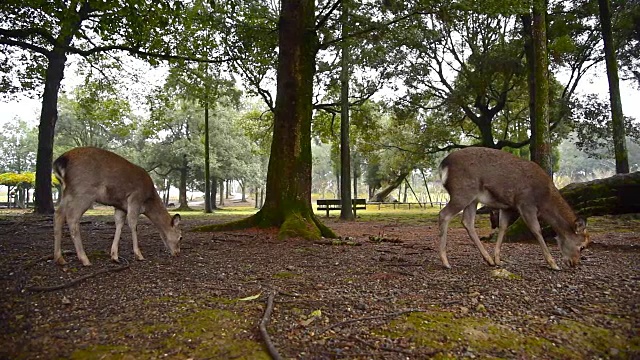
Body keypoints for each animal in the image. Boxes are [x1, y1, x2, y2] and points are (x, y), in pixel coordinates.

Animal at [51, 145, 182, 266]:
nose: (178, 253)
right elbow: (133, 224)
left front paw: (114, 256)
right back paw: (84, 259)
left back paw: (59, 258)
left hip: (67, 192)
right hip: (83, 192)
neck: (148, 200)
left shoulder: (120, 206)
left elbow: (119, 224)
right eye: (180, 237)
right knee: (72, 217)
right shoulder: (135, 198)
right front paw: (138, 254)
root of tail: (61, 161)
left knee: (58, 215)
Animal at [436, 147, 592, 270]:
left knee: (467, 222)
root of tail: (443, 165)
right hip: (462, 192)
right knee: (444, 214)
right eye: (582, 246)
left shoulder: (508, 207)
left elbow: (503, 227)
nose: (574, 263)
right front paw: (553, 263)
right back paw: (445, 262)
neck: (544, 198)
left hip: (473, 199)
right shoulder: (525, 203)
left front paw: (498, 259)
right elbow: (536, 230)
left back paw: (488, 260)